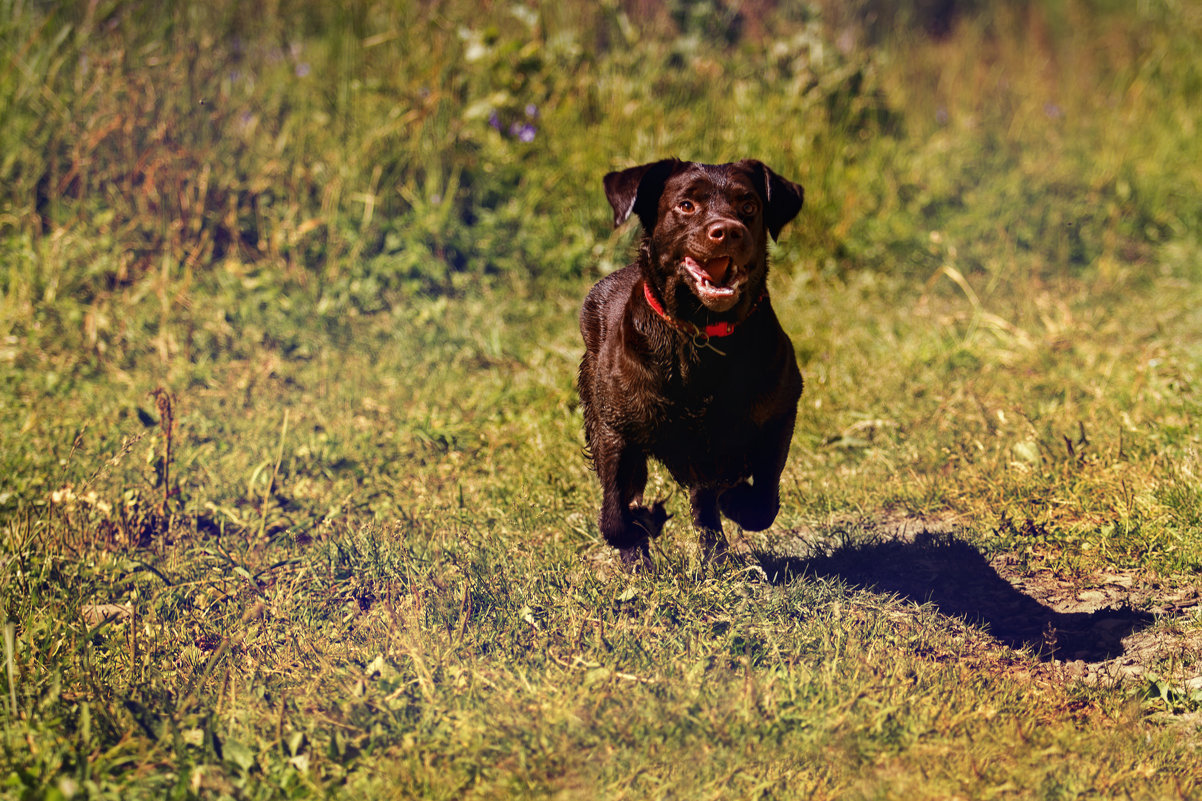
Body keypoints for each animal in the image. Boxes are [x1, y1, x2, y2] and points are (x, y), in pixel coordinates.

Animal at [576, 158, 802, 565]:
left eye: (749, 205)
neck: (699, 331)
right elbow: (614, 517)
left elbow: (762, 501)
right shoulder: (614, 429)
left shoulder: (779, 413)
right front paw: (642, 525)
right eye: (686, 205)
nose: (728, 231)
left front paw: (735, 500)